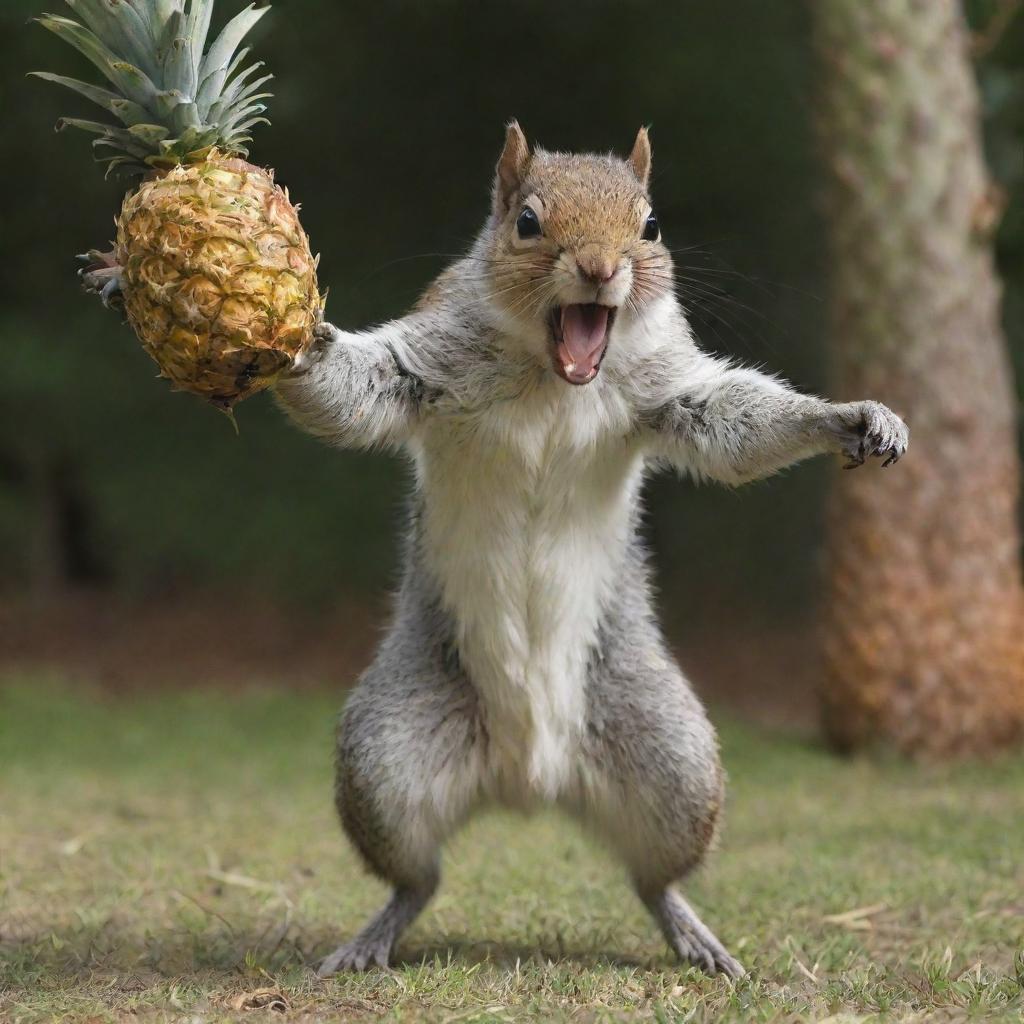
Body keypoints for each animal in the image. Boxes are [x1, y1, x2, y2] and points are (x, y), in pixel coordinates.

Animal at [270, 121, 905, 974]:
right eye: (526, 222)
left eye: (652, 225)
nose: (601, 269)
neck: (553, 375)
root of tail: (529, 780)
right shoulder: (423, 363)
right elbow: (357, 391)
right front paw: (291, 341)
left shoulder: (674, 389)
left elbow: (737, 425)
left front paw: (852, 417)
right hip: (386, 761)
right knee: (418, 878)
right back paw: (375, 936)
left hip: (673, 763)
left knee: (651, 876)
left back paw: (691, 932)